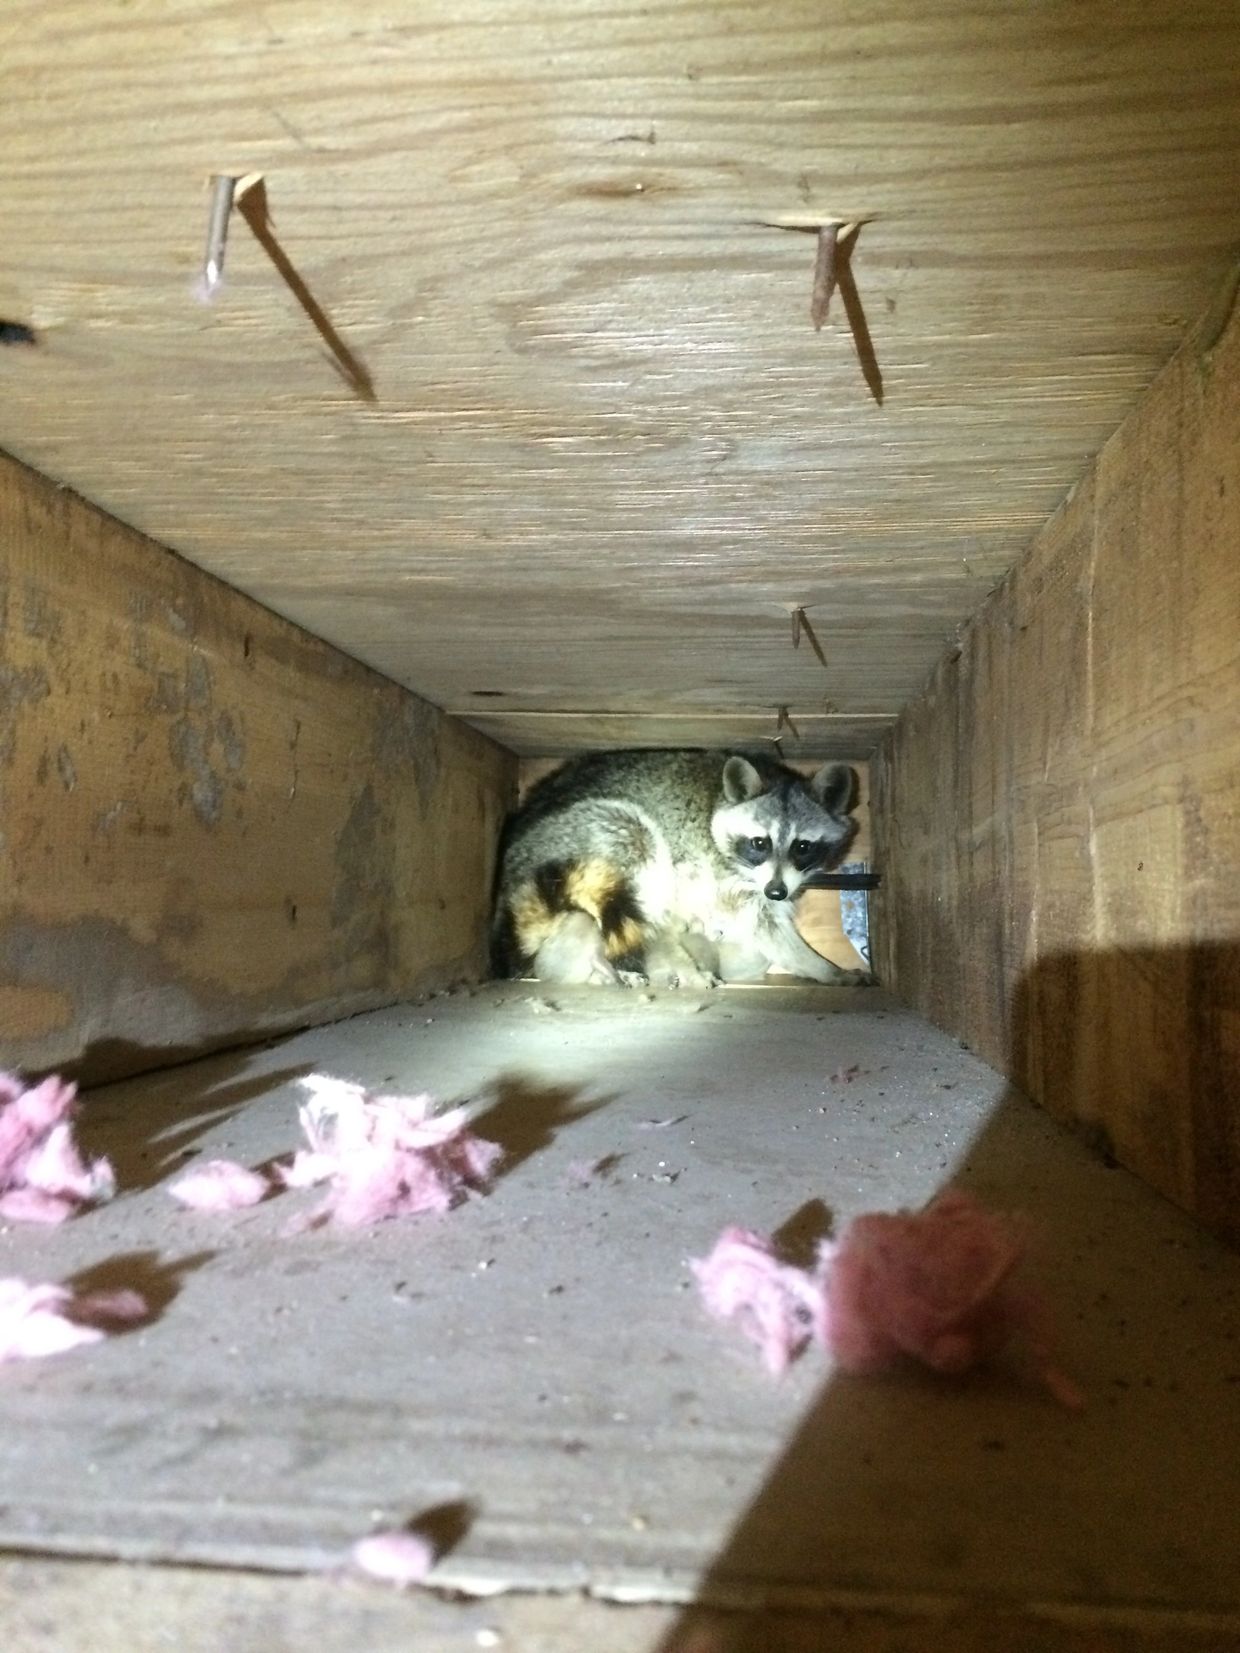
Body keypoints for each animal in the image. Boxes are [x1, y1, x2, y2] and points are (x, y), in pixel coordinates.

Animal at [491, 749, 873, 989]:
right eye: (759, 843)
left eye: (802, 847)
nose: (776, 892)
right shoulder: (724, 874)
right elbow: (764, 925)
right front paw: (821, 967)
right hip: (588, 837)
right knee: (636, 843)